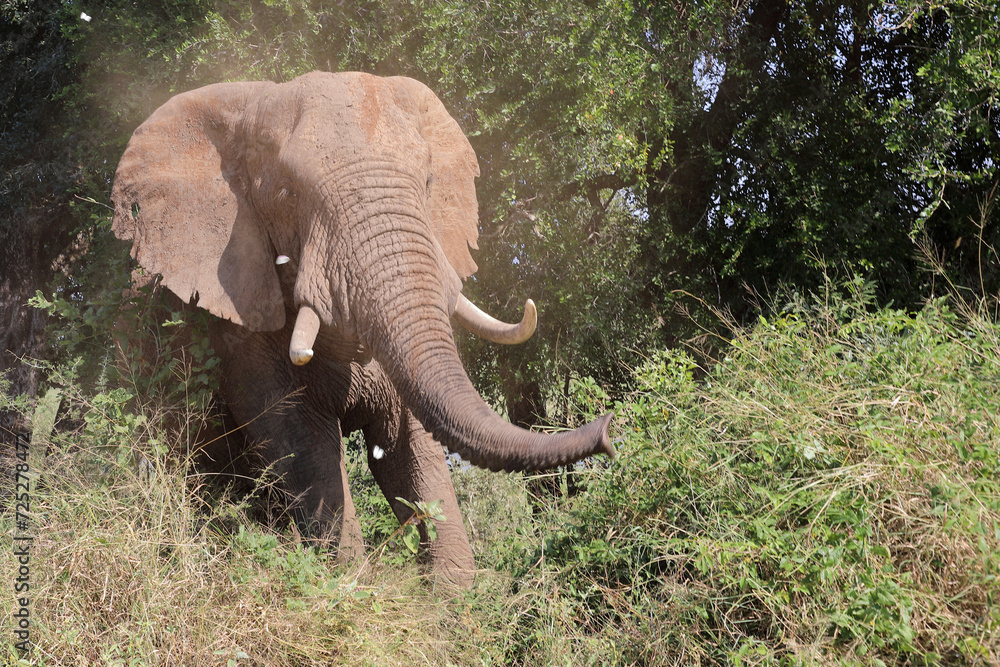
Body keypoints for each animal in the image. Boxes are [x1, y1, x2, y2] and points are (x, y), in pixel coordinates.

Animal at [110, 71, 613, 585]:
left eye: (427, 180)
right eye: (287, 193)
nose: (608, 430)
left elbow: (411, 445)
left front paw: (453, 597)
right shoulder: (238, 325)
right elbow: (303, 444)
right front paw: (348, 584)